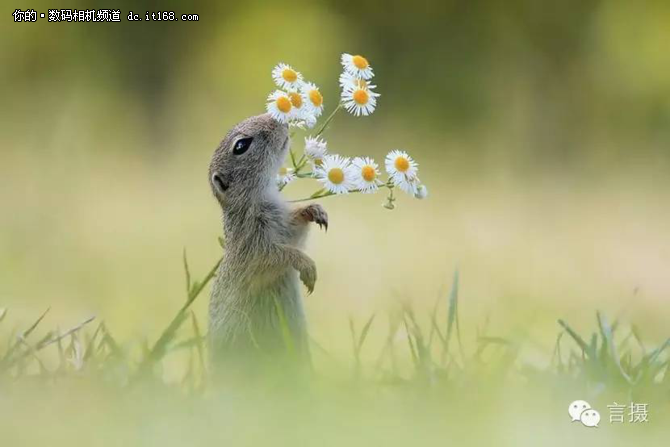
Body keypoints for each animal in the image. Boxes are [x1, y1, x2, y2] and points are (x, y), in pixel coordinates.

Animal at [207, 113, 328, 372]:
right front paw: (306, 266)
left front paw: (314, 210)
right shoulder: (253, 243)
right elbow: (274, 257)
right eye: (241, 146)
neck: (260, 197)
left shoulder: (286, 224)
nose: (278, 117)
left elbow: (297, 230)